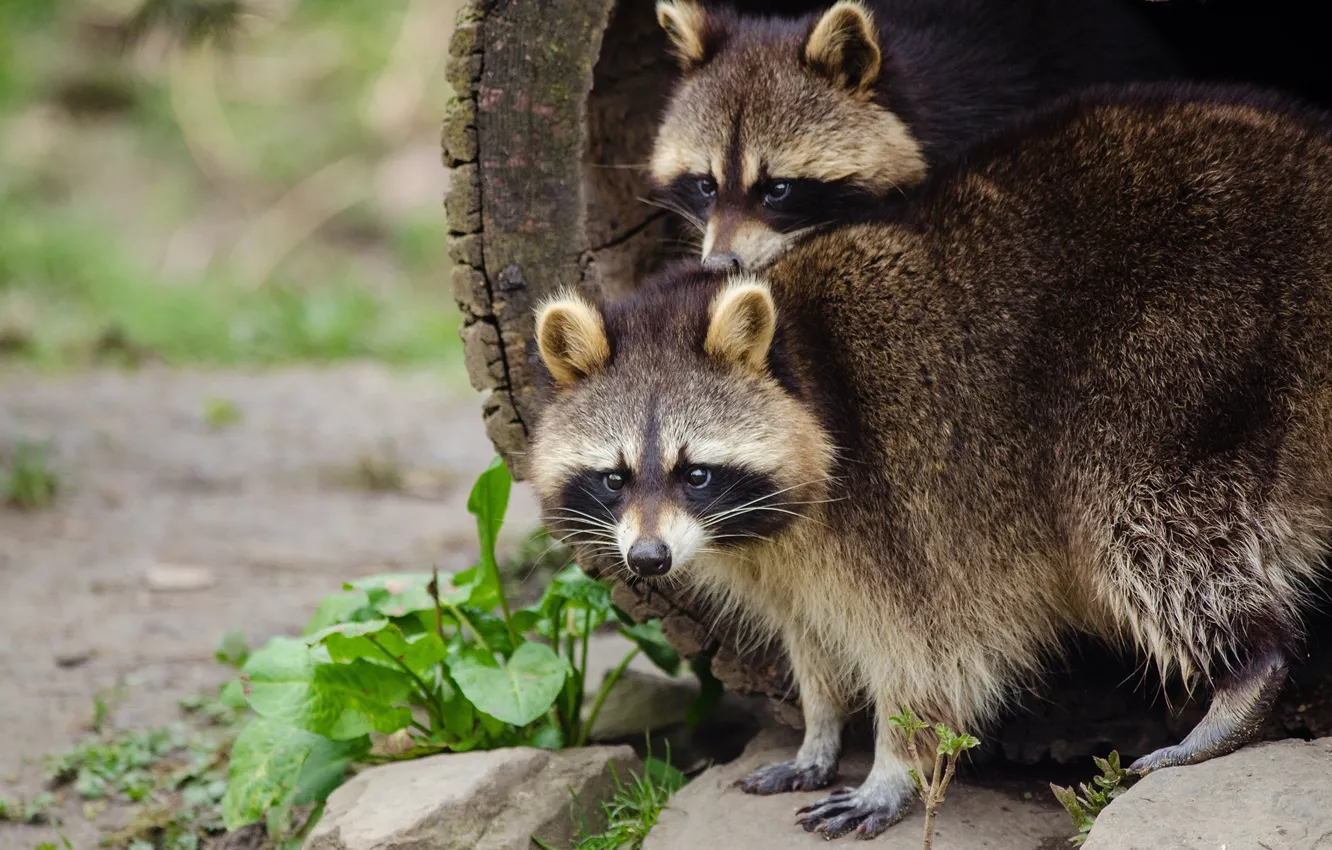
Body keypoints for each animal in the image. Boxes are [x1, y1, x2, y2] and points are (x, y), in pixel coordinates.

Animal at [532, 84, 1332, 839]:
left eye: (694, 473)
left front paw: (893, 764)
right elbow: (811, 642)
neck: (800, 360)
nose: (649, 560)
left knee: (1142, 523)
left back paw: (1244, 674)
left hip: (1176, 361)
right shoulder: (780, 563)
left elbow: (929, 654)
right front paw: (820, 730)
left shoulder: (905, 506)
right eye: (615, 477)